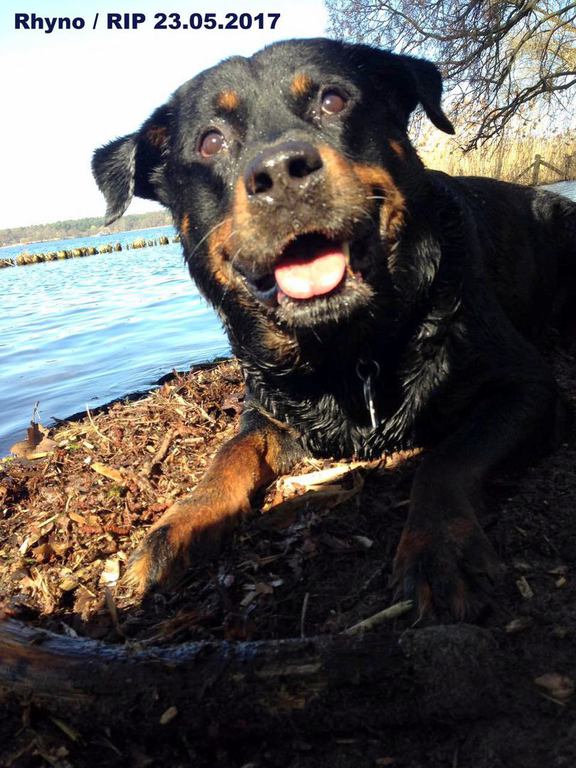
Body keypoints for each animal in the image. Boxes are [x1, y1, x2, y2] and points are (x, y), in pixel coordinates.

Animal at [92, 38, 576, 619]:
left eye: (333, 100)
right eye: (210, 141)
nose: (280, 171)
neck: (347, 348)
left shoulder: (524, 387)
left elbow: (446, 460)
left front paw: (438, 546)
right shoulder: (268, 410)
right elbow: (228, 455)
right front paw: (178, 525)